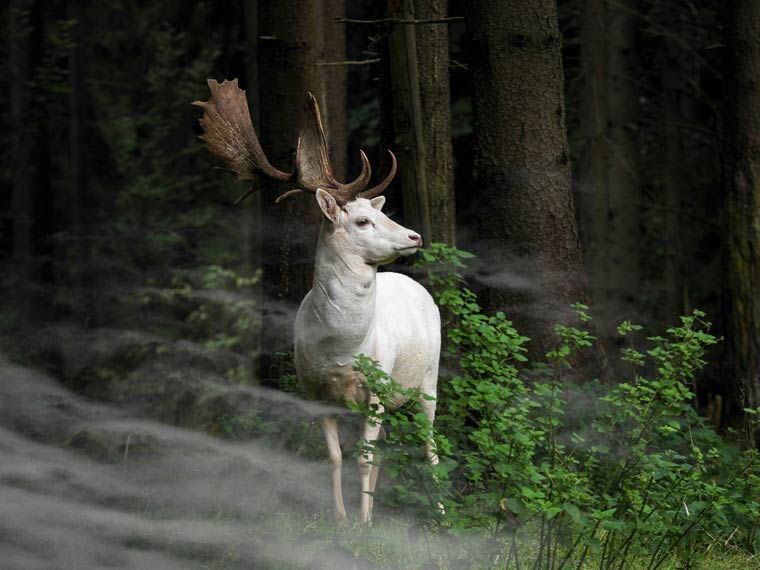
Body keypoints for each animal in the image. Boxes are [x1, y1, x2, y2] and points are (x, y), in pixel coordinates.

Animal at [193, 80, 442, 524]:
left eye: (380, 214)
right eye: (363, 220)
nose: (414, 236)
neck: (341, 349)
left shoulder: (375, 388)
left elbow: (363, 457)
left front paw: (363, 523)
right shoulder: (314, 392)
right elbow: (336, 456)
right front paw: (343, 519)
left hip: (428, 382)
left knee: (430, 447)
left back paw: (442, 515)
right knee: (386, 447)